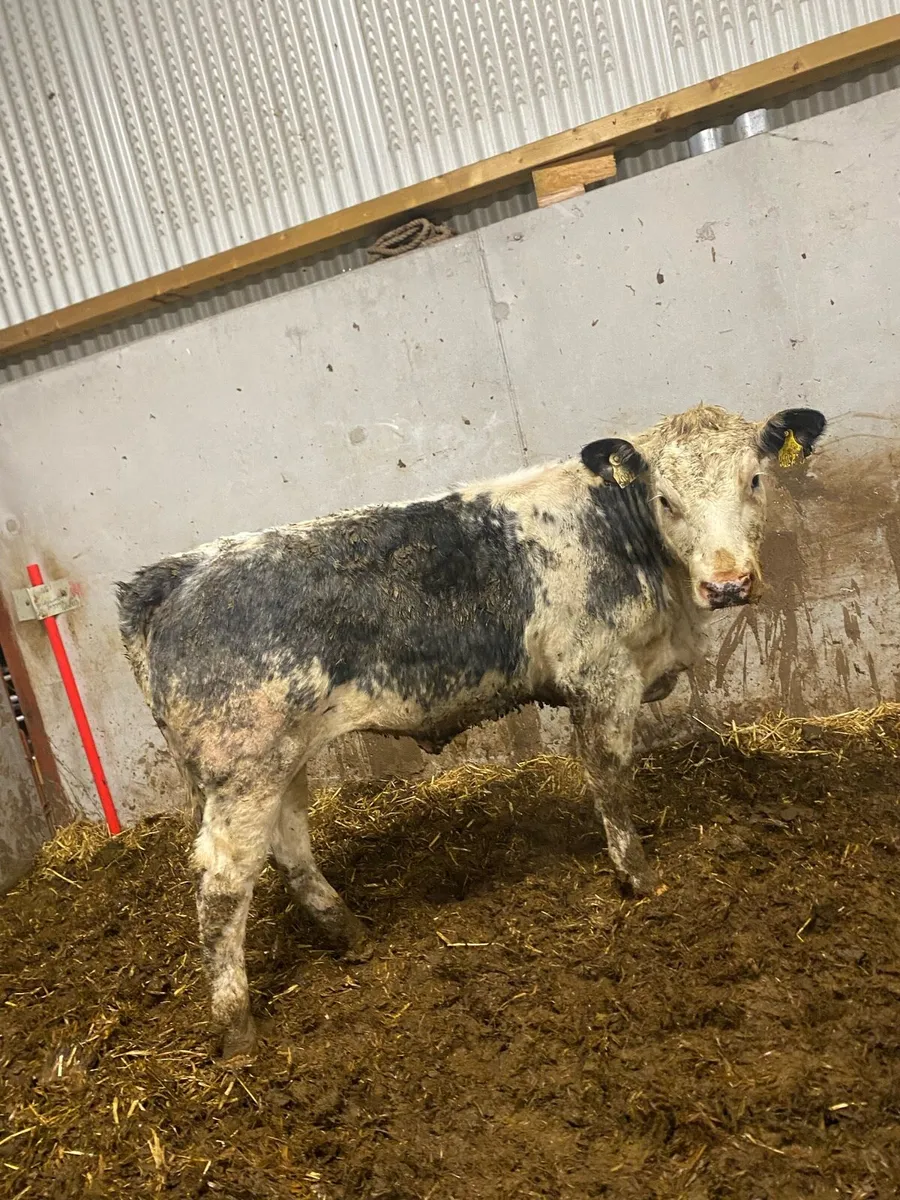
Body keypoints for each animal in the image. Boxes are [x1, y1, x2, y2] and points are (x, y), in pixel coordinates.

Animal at [116, 403, 825, 1058]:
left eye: (754, 479)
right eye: (665, 498)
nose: (728, 583)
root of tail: (172, 575)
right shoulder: (601, 679)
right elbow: (610, 779)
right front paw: (639, 877)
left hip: (280, 760)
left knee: (287, 848)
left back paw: (351, 935)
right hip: (244, 769)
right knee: (222, 886)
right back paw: (237, 1029)